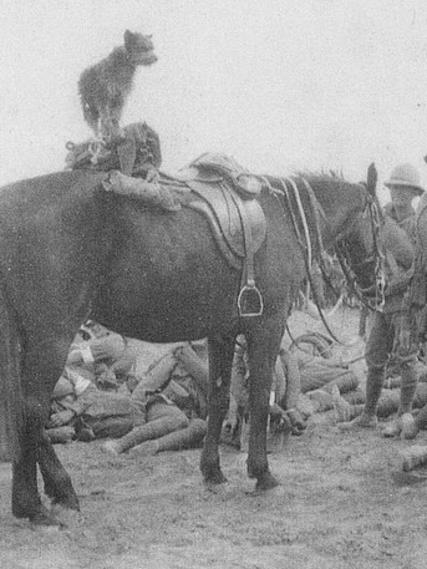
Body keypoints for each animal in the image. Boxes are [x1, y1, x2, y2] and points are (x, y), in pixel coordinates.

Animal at [0, 162, 382, 520]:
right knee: (32, 410)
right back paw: (36, 504)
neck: (284, 217)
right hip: (52, 338)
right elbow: (260, 398)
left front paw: (212, 472)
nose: (377, 288)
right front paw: (262, 473)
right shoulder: (267, 328)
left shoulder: (222, 333)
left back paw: (50, 494)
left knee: (22, 411)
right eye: (381, 222)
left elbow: (218, 398)